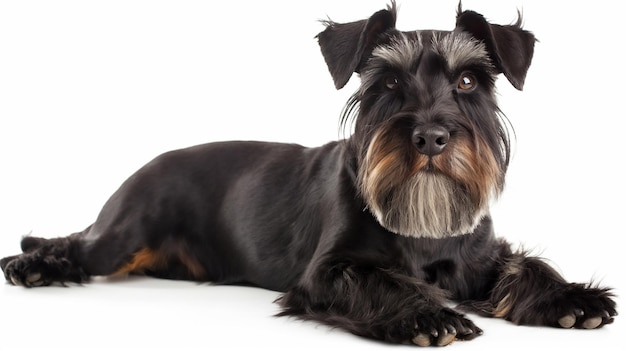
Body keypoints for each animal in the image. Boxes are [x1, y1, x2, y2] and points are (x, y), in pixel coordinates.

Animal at [0, 2, 616, 350]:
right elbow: (381, 280)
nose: (431, 137)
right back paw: (32, 264)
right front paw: (424, 312)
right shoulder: (328, 273)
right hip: (123, 234)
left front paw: (572, 297)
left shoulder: (480, 259)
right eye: (388, 82)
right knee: (77, 243)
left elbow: (525, 265)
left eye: (468, 81)